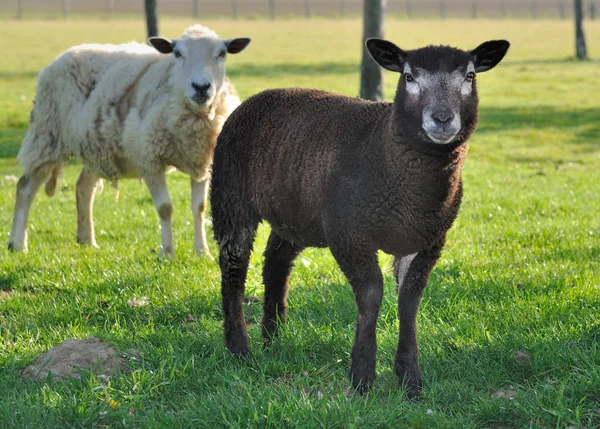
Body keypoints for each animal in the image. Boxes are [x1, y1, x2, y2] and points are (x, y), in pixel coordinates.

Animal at [8, 25, 251, 256]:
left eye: (221, 53)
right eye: (178, 53)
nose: (201, 87)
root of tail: (64, 55)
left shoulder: (203, 160)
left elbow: (199, 207)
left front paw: (203, 252)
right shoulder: (149, 159)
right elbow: (165, 208)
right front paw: (167, 252)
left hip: (97, 149)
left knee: (83, 186)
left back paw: (87, 240)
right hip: (46, 135)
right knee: (25, 187)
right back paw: (17, 243)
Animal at [209, 38, 508, 396]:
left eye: (470, 76)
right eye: (409, 77)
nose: (442, 119)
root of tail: (258, 97)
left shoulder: (427, 239)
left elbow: (409, 301)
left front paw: (410, 380)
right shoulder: (349, 234)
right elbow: (371, 295)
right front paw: (363, 376)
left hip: (295, 213)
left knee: (276, 263)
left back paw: (273, 338)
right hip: (230, 196)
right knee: (233, 268)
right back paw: (239, 347)